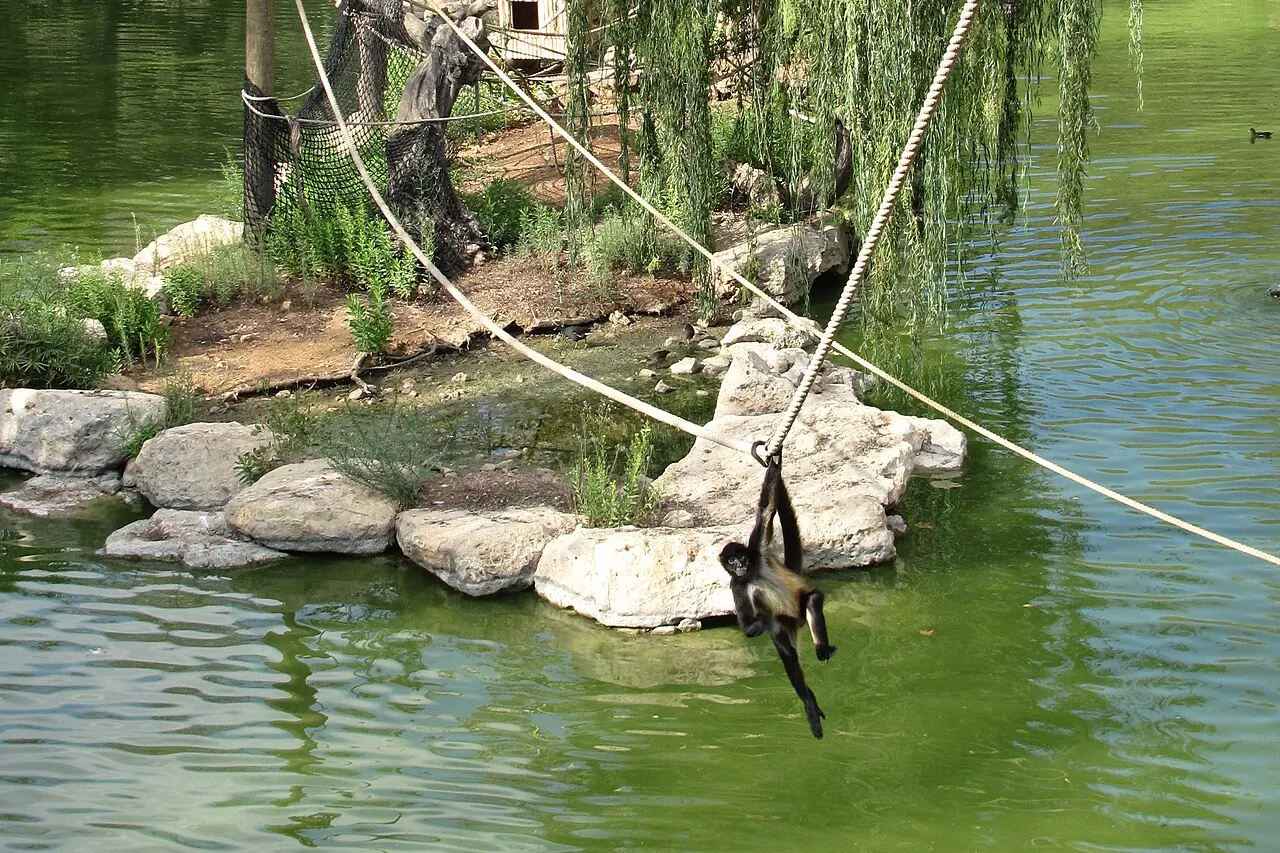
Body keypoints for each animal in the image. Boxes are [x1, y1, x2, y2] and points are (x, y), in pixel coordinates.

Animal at [719, 447, 836, 739]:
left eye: (741, 557)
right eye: (731, 562)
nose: (739, 566)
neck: (752, 574)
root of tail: (797, 620)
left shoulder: (756, 550)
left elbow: (767, 508)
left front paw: (776, 459)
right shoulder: (736, 585)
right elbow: (749, 628)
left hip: (801, 606)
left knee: (813, 600)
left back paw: (821, 651)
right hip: (787, 624)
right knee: (785, 648)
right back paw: (808, 700)